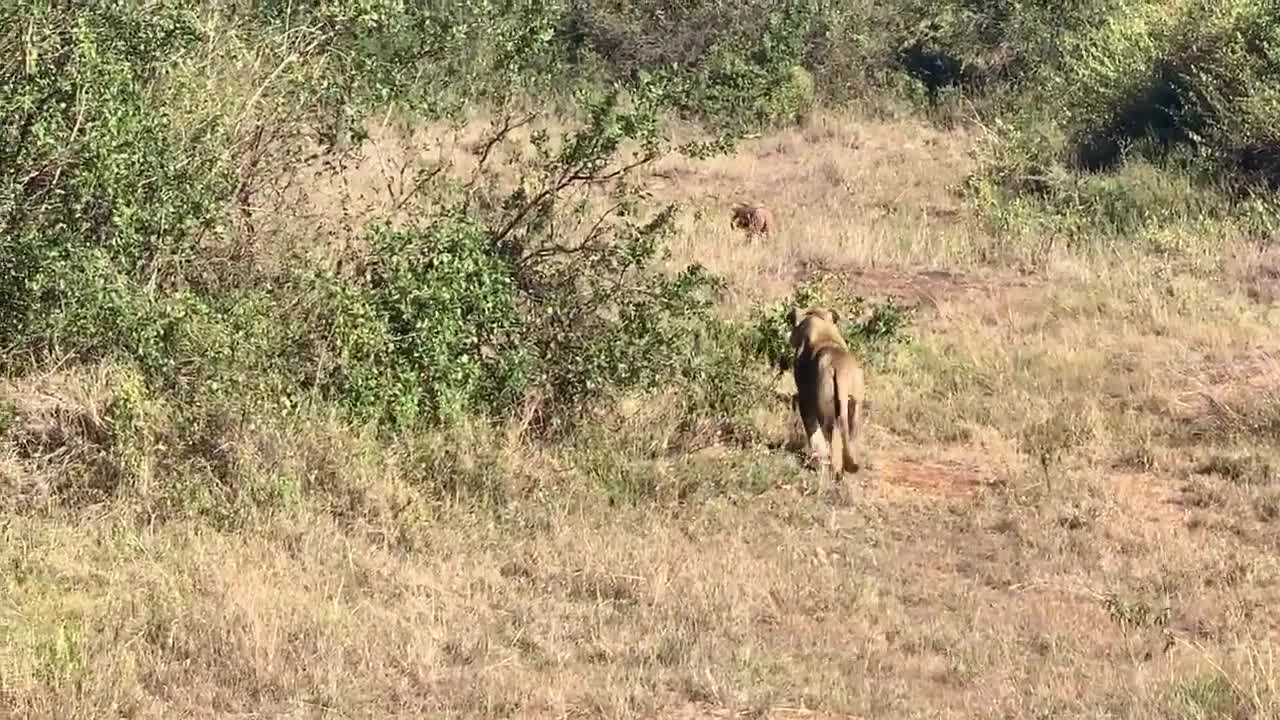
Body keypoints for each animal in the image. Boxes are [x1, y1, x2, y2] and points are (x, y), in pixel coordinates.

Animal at [783, 303, 865, 476]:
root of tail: (840, 368)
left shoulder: (805, 398)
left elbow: (811, 428)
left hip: (825, 405)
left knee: (833, 435)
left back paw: (834, 471)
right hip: (855, 405)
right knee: (851, 434)